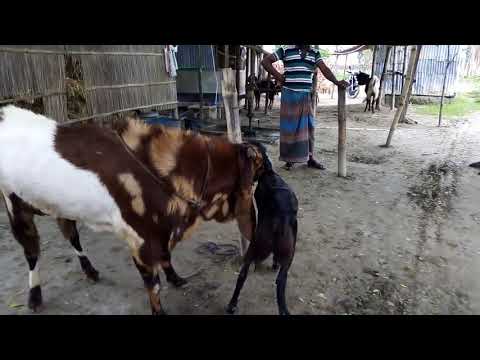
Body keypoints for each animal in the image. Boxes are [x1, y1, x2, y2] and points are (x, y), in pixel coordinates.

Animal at [0, 105, 262, 314]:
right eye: (256, 177)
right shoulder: (140, 239)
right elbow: (153, 285)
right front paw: (160, 310)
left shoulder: (160, 231)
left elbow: (166, 257)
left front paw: (176, 278)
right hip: (14, 203)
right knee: (31, 251)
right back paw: (35, 296)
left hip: (59, 206)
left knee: (71, 236)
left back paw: (90, 271)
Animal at [227, 141, 298, 316]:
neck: (268, 174)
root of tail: (279, 222)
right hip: (287, 255)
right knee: (280, 281)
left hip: (254, 250)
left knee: (243, 275)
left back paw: (232, 305)